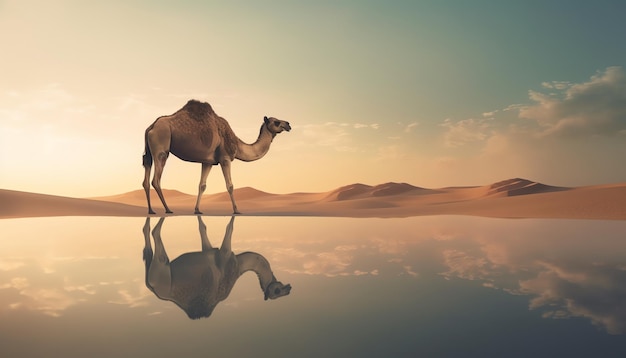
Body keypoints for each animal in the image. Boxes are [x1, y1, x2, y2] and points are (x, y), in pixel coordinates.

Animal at [141, 99, 290, 214]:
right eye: (276, 122)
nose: (288, 124)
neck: (236, 143)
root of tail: (151, 127)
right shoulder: (225, 158)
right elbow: (230, 185)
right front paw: (236, 210)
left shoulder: (207, 161)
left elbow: (202, 185)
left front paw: (197, 210)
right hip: (162, 147)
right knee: (156, 179)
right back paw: (167, 209)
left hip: (149, 152)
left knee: (146, 175)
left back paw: (151, 210)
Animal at [141, 215, 290, 318]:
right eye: (277, 291)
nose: (289, 288)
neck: (238, 266)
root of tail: (153, 288)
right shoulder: (225, 253)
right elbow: (229, 228)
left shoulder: (209, 250)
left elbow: (203, 229)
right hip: (162, 266)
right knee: (156, 235)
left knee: (148, 249)